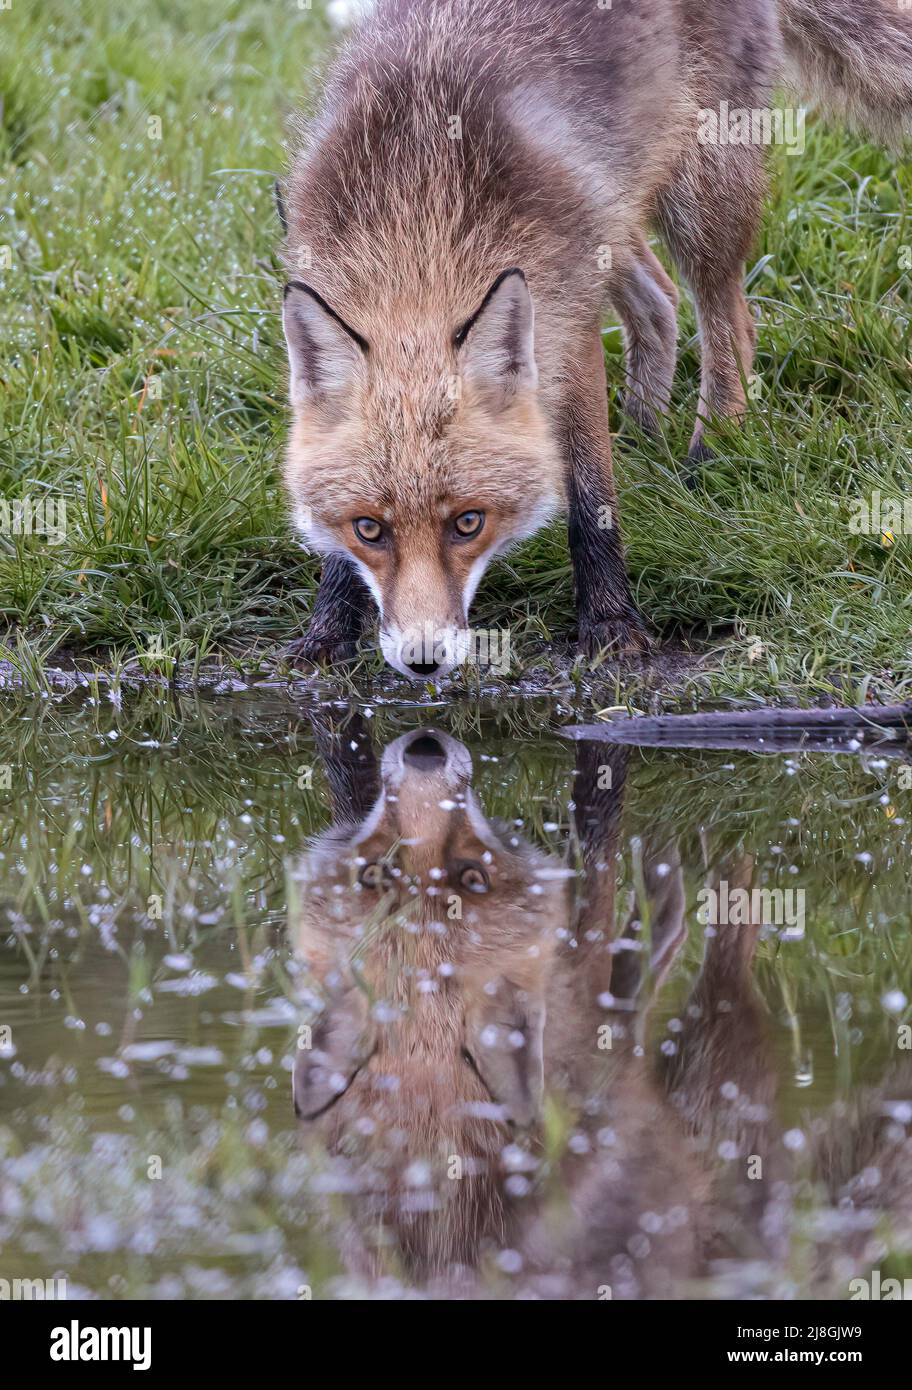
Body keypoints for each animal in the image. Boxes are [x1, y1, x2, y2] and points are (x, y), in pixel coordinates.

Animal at [278, 0, 912, 672]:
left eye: (469, 523)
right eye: (369, 528)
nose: (423, 659)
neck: (418, 213)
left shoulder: (568, 327)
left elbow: (590, 498)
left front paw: (611, 622)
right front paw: (328, 630)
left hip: (699, 191)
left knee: (730, 323)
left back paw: (709, 454)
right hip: (615, 209)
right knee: (661, 303)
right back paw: (640, 439)